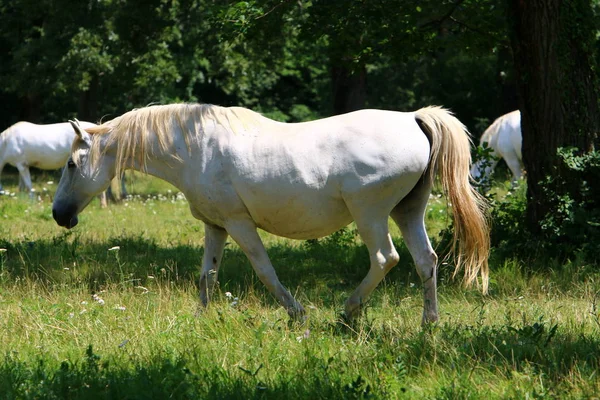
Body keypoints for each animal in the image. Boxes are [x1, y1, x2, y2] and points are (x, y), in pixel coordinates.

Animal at [51, 101, 490, 324]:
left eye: (71, 164)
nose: (59, 215)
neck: (195, 147)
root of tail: (412, 119)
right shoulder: (215, 226)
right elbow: (207, 276)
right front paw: (199, 321)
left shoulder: (238, 224)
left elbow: (265, 271)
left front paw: (298, 315)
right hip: (407, 211)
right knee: (425, 261)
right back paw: (429, 325)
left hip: (371, 215)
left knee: (386, 258)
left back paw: (347, 314)